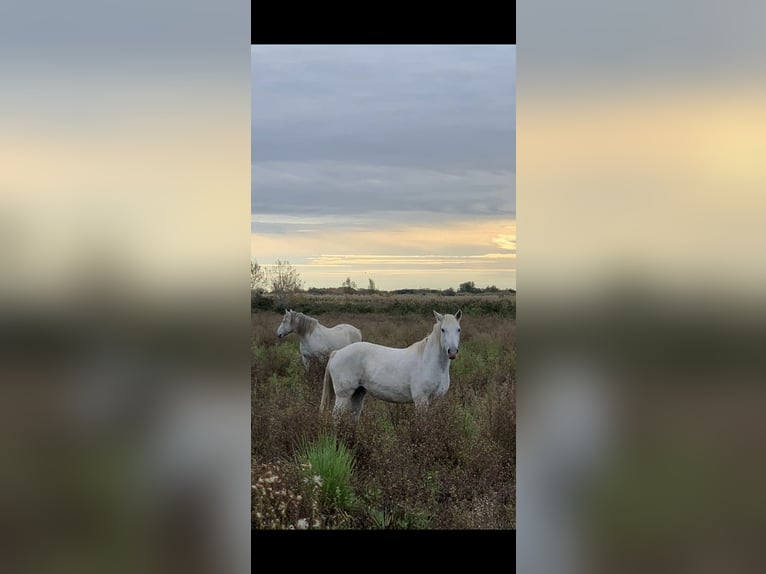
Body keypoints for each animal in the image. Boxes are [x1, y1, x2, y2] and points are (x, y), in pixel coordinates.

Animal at [322, 310, 464, 428]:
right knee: (336, 416)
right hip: (343, 395)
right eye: (443, 329)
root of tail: (337, 353)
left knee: (354, 416)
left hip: (358, 393)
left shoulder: (437, 400)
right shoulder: (421, 400)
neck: (429, 362)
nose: (452, 352)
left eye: (458, 329)